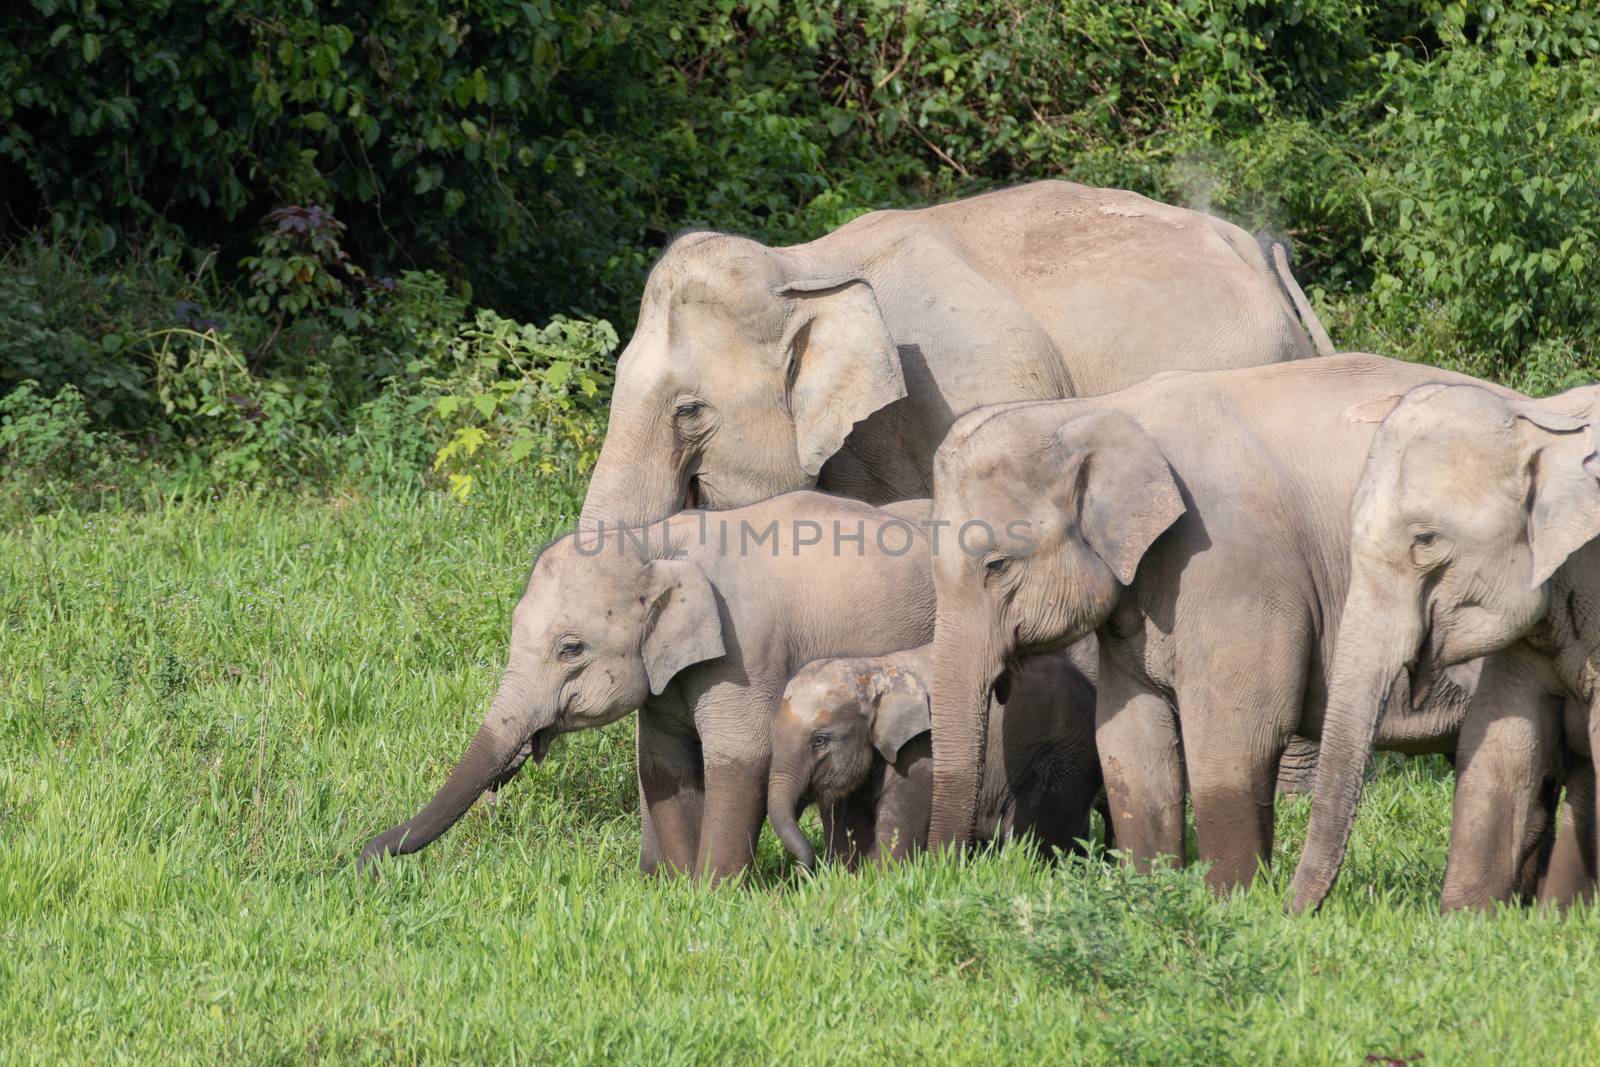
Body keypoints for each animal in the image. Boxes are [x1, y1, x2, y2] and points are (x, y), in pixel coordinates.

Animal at [768, 643, 1107, 870]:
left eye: (819, 741)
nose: (801, 871)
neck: (875, 669)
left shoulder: (921, 755)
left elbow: (897, 826)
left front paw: (884, 877)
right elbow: (849, 827)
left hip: (1062, 758)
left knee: (1034, 832)